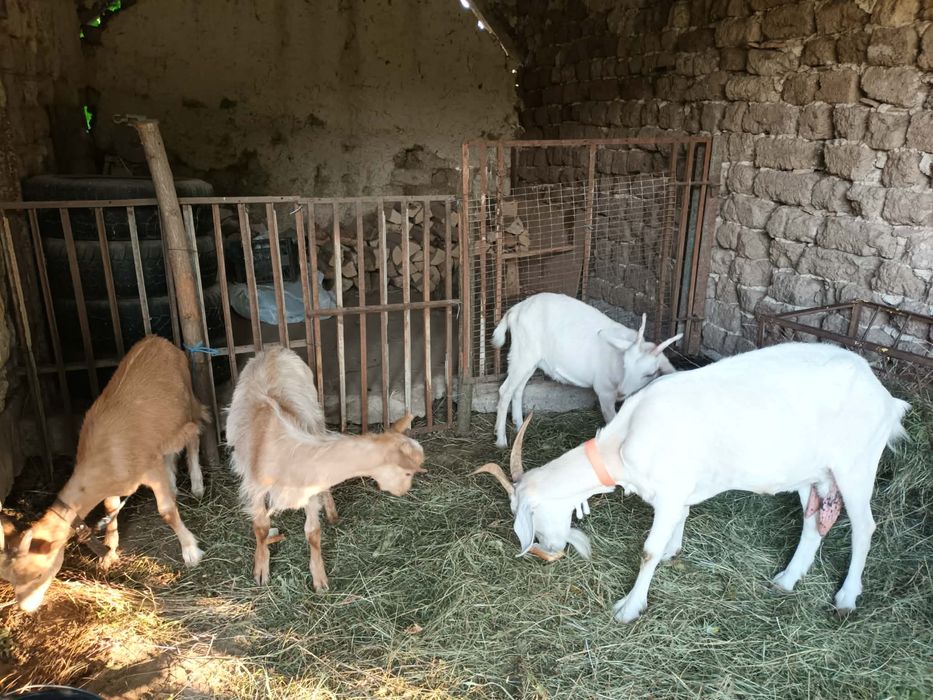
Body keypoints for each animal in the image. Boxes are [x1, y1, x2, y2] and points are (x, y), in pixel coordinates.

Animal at [1, 336, 207, 612]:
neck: (104, 461)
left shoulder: (150, 469)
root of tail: (157, 339)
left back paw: (197, 485)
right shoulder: (115, 483)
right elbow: (110, 508)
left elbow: (166, 512)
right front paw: (109, 549)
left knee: (194, 434)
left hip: (186, 405)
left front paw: (191, 550)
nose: (26, 608)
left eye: (38, 574)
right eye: (10, 579)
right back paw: (174, 482)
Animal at [226, 346, 426, 590]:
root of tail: (273, 348)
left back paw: (332, 513)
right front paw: (261, 570)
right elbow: (261, 528)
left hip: (315, 416)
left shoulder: (310, 489)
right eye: (407, 472)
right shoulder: (254, 488)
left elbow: (313, 532)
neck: (284, 452)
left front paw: (319, 579)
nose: (404, 491)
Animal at [491, 293, 682, 448]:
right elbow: (612, 422)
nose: (621, 392)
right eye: (625, 364)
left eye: (650, 373)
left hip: (530, 359)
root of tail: (515, 310)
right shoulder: (605, 392)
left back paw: (519, 426)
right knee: (505, 390)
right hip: (523, 353)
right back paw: (501, 440)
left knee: (518, 389)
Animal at [504, 342, 909, 622]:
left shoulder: (670, 490)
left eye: (529, 515)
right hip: (813, 473)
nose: (550, 548)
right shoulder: (678, 490)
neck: (623, 441)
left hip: (856, 466)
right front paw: (674, 550)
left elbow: (648, 550)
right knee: (813, 523)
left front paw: (629, 607)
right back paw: (786, 579)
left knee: (864, 527)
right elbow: (681, 519)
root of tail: (888, 399)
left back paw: (846, 598)